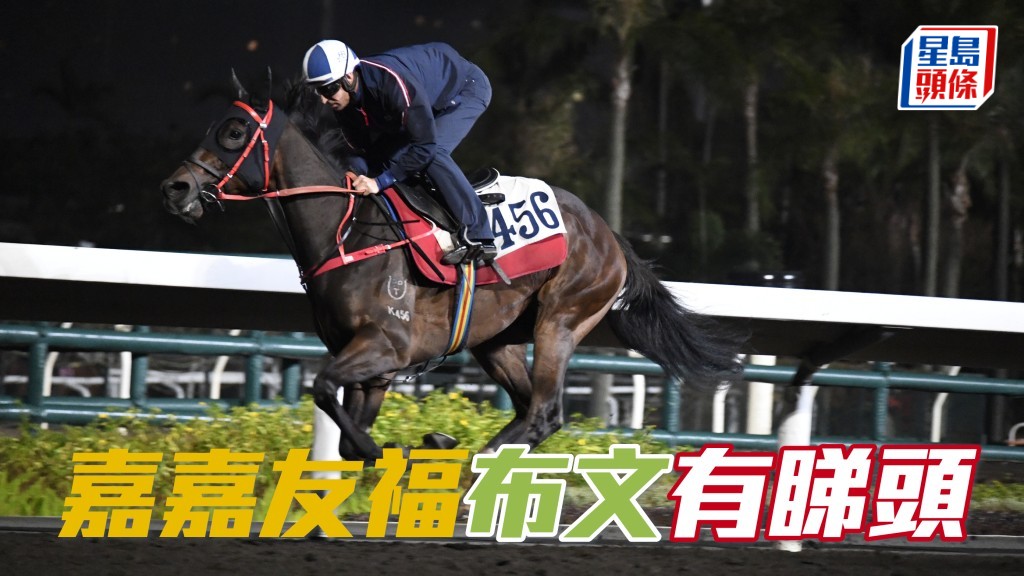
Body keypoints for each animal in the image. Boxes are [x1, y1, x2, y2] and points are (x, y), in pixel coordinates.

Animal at [160, 74, 743, 462]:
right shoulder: (373, 367)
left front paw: (402, 447)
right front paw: (412, 441)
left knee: (543, 413)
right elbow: (346, 439)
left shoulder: (384, 347)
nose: (176, 188)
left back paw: (464, 465)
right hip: (497, 340)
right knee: (528, 410)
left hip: (562, 319)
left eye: (234, 132)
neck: (345, 233)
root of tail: (609, 234)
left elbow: (325, 392)